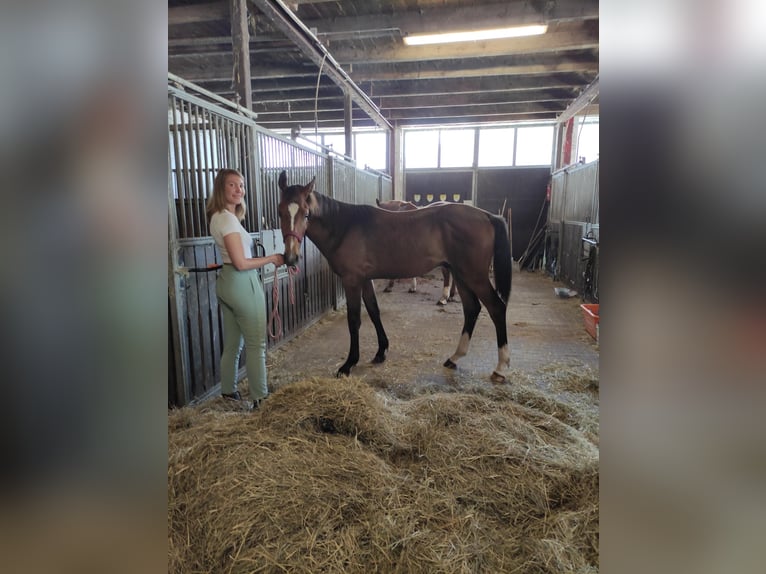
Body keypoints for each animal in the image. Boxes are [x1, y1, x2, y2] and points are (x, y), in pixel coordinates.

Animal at [280, 173, 512, 384]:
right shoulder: (365, 280)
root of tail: (488, 216)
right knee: (472, 309)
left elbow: (354, 320)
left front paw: (348, 364)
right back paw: (454, 358)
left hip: (475, 276)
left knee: (496, 308)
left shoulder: (352, 280)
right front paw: (380, 352)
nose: (291, 258)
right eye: (280, 211)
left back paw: (500, 368)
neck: (345, 227)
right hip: (462, 276)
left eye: (306, 213)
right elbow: (374, 311)